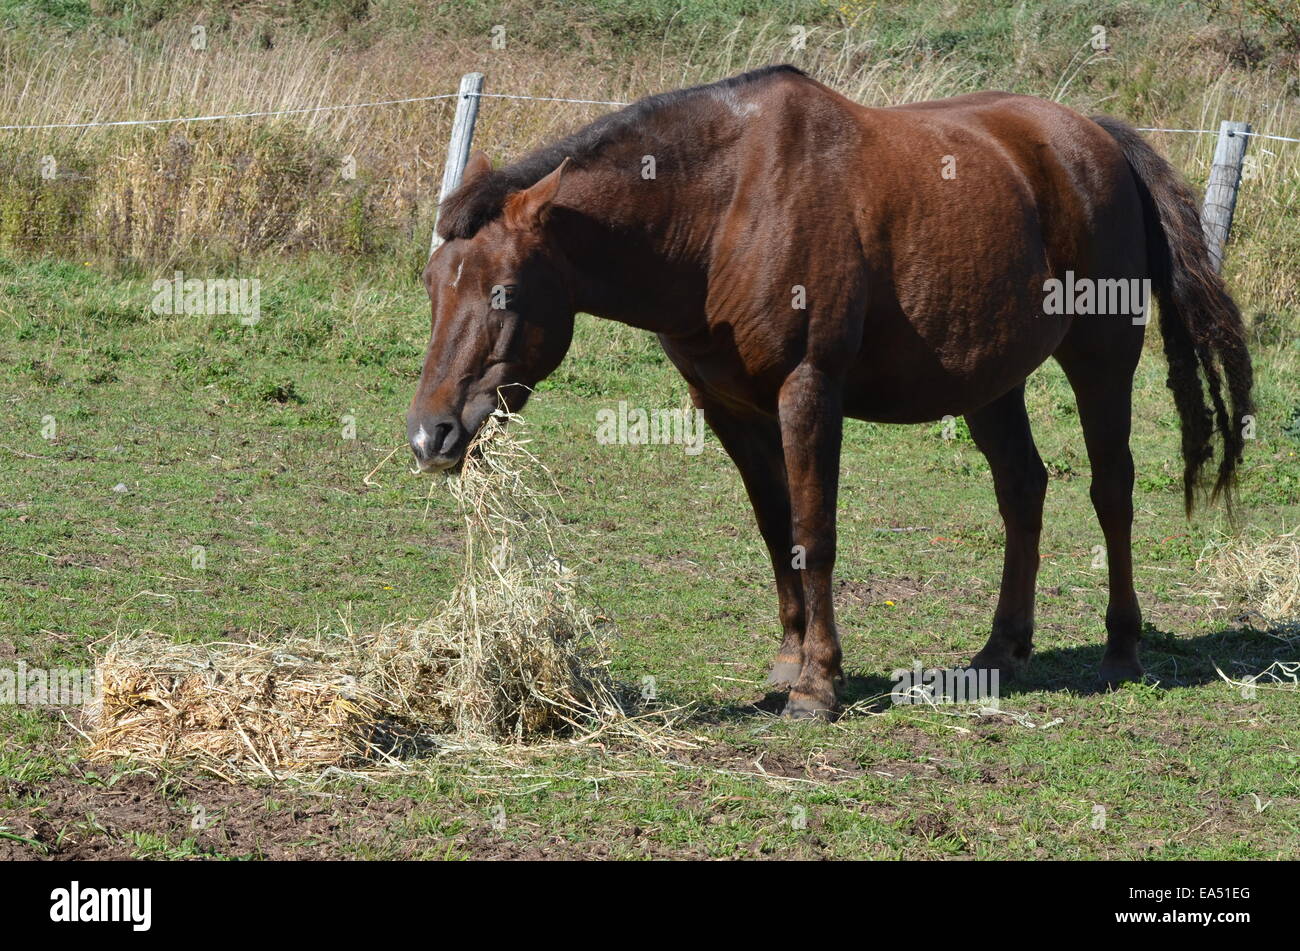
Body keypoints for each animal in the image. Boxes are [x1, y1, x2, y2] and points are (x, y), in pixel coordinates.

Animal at [407, 65, 1253, 719]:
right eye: (432, 286)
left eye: (505, 293)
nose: (430, 435)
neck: (726, 207)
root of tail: (1095, 139)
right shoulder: (731, 408)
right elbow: (775, 528)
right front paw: (789, 661)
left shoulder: (808, 391)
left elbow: (815, 533)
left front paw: (818, 685)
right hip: (991, 381)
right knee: (1023, 489)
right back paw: (1001, 647)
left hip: (1101, 357)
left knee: (1112, 489)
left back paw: (1121, 648)